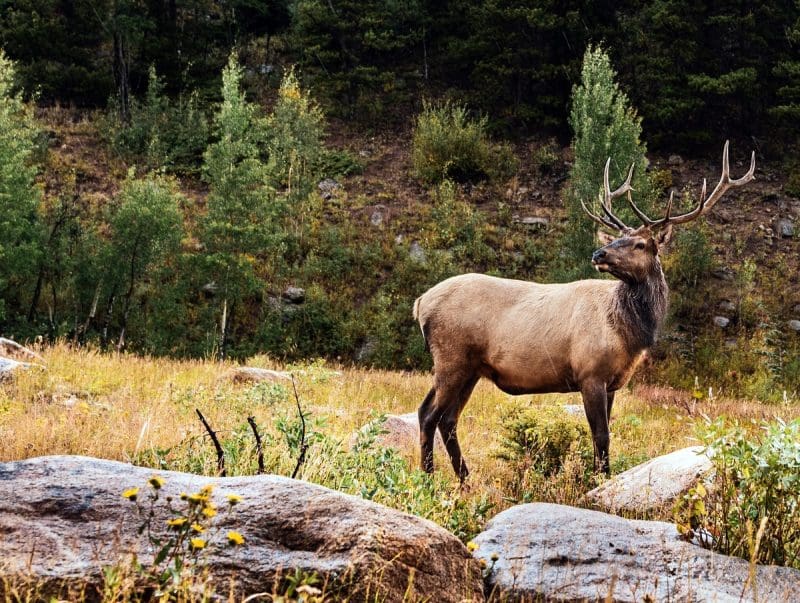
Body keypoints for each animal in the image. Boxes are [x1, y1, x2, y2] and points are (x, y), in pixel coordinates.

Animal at [413, 141, 755, 481]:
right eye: (619, 238)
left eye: (640, 244)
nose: (599, 253)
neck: (628, 334)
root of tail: (420, 304)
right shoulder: (590, 372)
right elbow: (601, 436)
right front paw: (599, 481)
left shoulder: (612, 381)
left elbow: (601, 436)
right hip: (452, 357)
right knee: (428, 414)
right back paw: (429, 478)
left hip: (470, 368)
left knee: (447, 419)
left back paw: (465, 480)